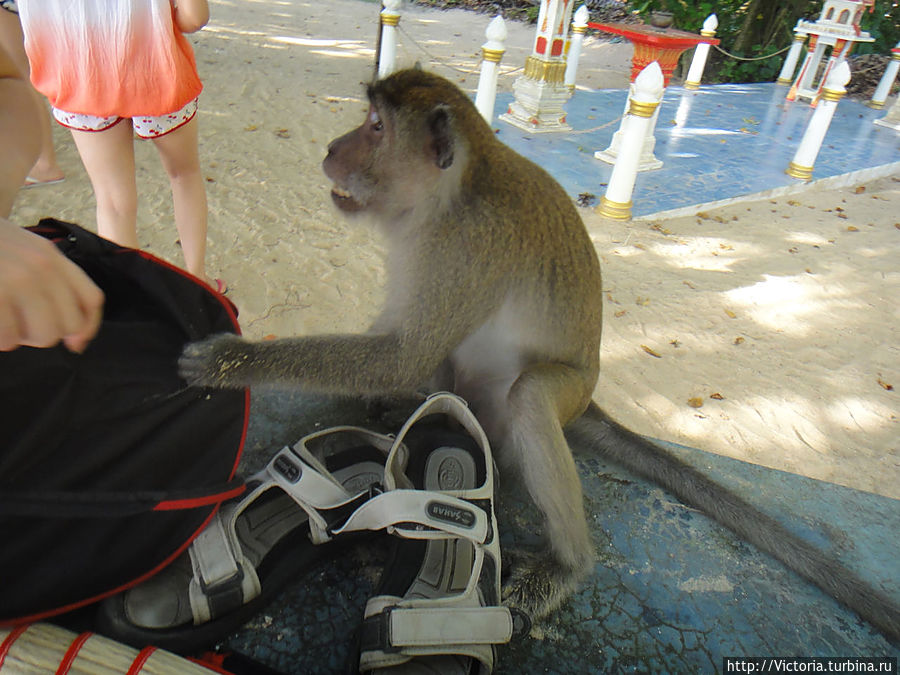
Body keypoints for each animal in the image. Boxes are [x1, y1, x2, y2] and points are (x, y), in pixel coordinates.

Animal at [179, 71, 896, 640]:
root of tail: (591, 398)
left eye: (375, 127)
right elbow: (401, 349)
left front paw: (231, 360)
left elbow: (402, 353)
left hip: (555, 394)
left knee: (525, 396)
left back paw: (567, 566)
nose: (332, 149)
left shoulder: (464, 250)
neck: (454, 193)